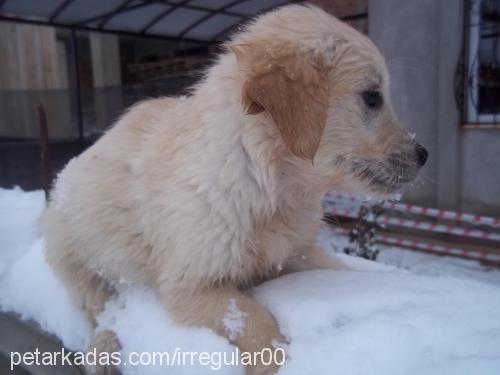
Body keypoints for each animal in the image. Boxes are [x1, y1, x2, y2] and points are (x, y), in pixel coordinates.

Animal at [41, 3, 428, 375]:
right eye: (372, 97)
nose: (424, 155)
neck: (267, 182)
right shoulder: (190, 284)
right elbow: (253, 318)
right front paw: (274, 362)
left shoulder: (295, 252)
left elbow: (337, 268)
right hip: (79, 263)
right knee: (100, 312)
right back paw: (103, 348)